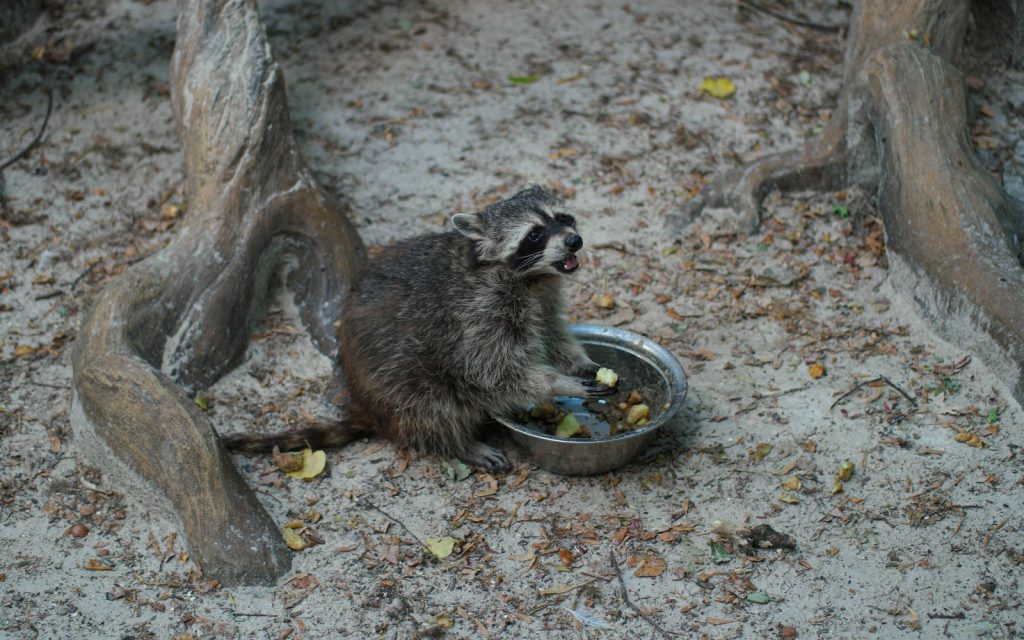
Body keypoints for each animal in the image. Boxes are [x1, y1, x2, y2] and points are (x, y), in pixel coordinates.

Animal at [222, 186, 612, 472]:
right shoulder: (476, 316)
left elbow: (551, 332)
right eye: (534, 235)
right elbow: (492, 371)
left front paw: (578, 362)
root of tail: (370, 410)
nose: (574, 240)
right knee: (432, 406)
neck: (531, 279)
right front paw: (557, 382)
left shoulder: (543, 298)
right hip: (400, 381)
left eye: (564, 218)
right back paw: (460, 443)